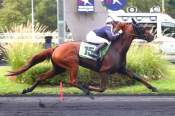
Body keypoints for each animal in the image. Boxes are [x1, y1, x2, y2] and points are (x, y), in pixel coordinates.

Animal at [6, 18, 158, 95]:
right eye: (142, 28)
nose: (152, 36)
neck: (117, 48)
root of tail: (57, 47)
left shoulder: (122, 69)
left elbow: (138, 77)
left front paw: (154, 88)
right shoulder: (104, 71)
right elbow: (102, 88)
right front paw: (89, 87)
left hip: (58, 68)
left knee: (41, 77)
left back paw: (27, 90)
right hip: (73, 64)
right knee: (72, 81)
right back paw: (85, 89)